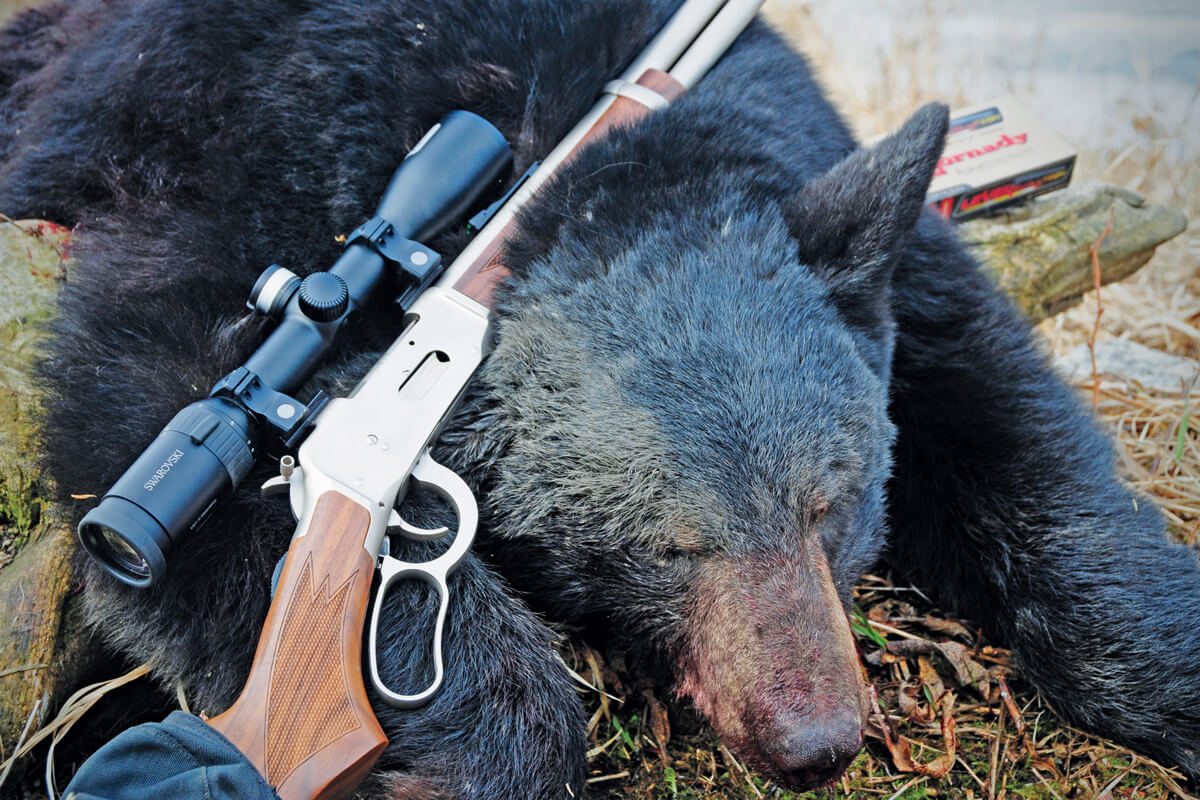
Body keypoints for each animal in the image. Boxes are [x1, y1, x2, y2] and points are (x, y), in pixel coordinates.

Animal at [2, 0, 1198, 796]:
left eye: (832, 507)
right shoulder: (229, 199)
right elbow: (150, 449)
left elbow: (1016, 429)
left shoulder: (877, 230)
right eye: (670, 545)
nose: (814, 742)